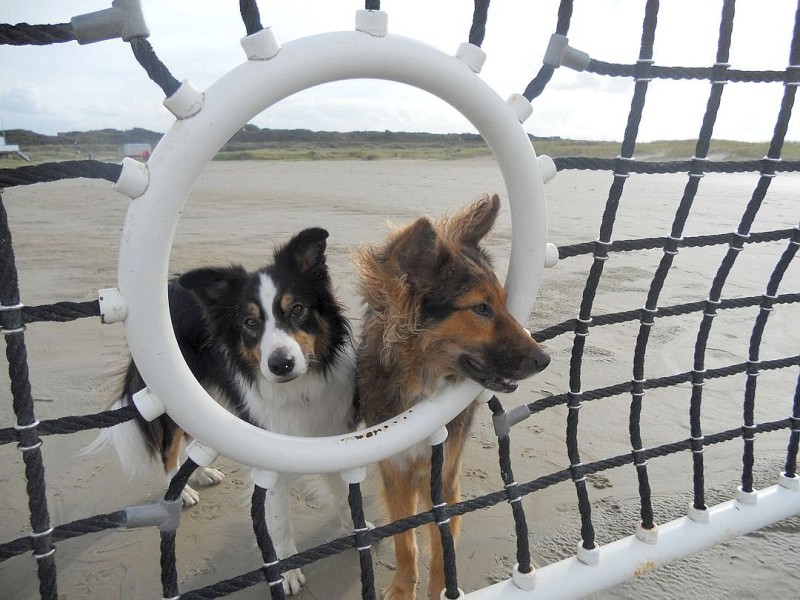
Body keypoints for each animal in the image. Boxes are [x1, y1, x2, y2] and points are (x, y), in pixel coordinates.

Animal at [89, 229, 358, 596]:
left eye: (298, 309)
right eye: (249, 322)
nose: (281, 364)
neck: (298, 389)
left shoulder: (330, 435)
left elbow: (344, 493)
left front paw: (356, 529)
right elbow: (279, 522)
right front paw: (288, 573)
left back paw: (201, 474)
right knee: (169, 447)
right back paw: (182, 490)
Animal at [354, 195, 552, 596]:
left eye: (504, 302)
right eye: (480, 307)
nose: (545, 359)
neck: (421, 385)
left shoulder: (444, 473)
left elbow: (442, 547)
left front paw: (441, 590)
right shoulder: (397, 471)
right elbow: (405, 540)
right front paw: (403, 587)